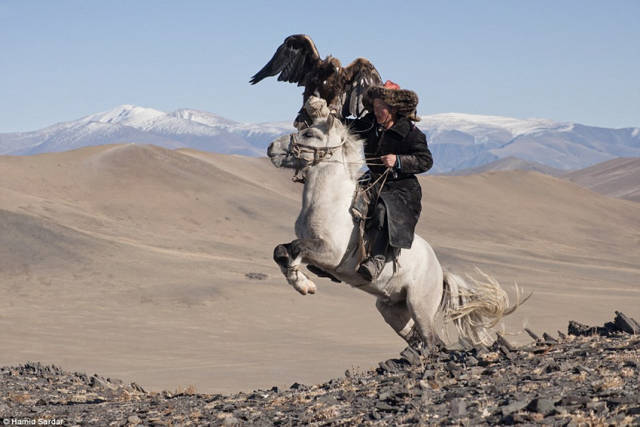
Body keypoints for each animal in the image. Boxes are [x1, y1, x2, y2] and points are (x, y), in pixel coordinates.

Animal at [266, 98, 520, 350]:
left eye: (309, 134)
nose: (271, 148)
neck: (331, 201)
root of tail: (440, 272)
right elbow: (280, 251)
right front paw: (303, 283)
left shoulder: (331, 254)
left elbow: (295, 248)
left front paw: (303, 284)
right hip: (392, 310)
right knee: (420, 338)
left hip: (420, 307)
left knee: (432, 342)